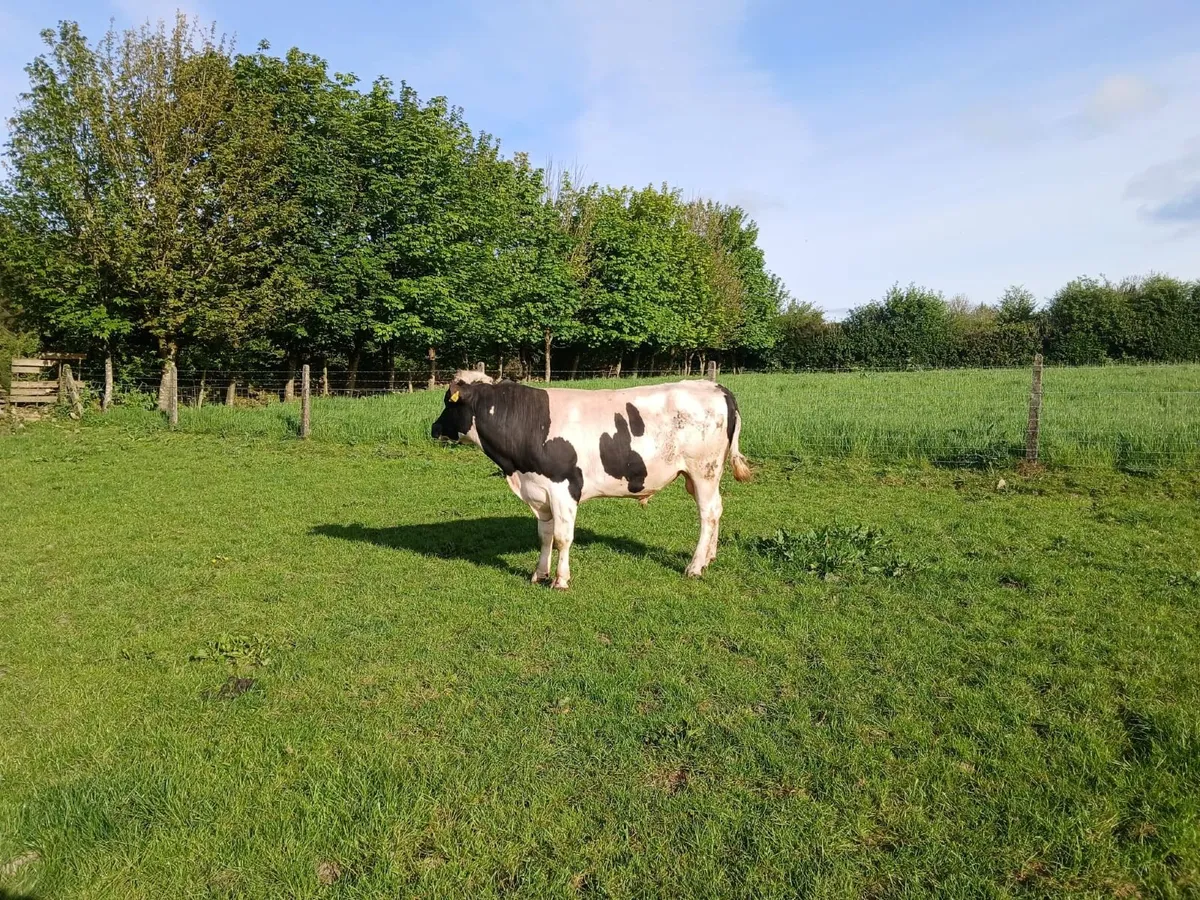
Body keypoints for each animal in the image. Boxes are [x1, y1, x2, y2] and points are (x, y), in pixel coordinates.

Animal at [431, 370, 751, 589]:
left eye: (448, 401)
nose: (434, 428)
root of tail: (713, 385)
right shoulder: (539, 491)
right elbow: (545, 535)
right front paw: (539, 574)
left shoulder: (563, 488)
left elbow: (563, 537)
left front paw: (560, 580)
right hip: (702, 475)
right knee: (717, 510)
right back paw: (709, 558)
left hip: (704, 470)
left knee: (708, 513)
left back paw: (695, 566)